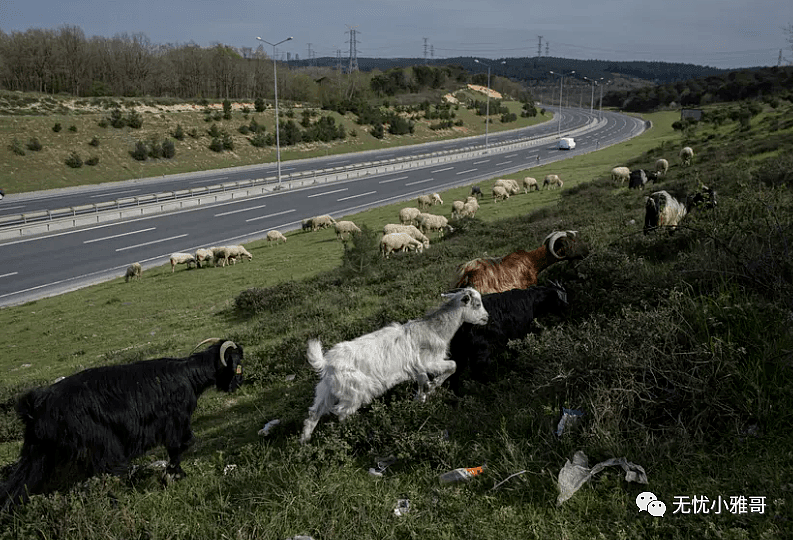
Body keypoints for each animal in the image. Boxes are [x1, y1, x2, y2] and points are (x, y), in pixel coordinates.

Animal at [0, 338, 243, 510]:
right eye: (238, 361)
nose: (239, 383)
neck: (189, 374)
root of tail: (36, 406)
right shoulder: (176, 421)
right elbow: (180, 446)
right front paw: (173, 475)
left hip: (37, 452)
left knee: (19, 483)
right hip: (101, 443)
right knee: (106, 472)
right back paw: (114, 503)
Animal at [300, 286, 488, 442]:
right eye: (477, 304)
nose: (487, 318)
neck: (435, 330)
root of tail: (327, 363)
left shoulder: (417, 368)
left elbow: (422, 382)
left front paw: (420, 398)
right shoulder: (429, 361)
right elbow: (453, 365)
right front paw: (434, 385)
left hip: (327, 390)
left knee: (314, 413)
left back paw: (304, 442)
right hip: (355, 390)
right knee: (342, 413)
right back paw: (356, 430)